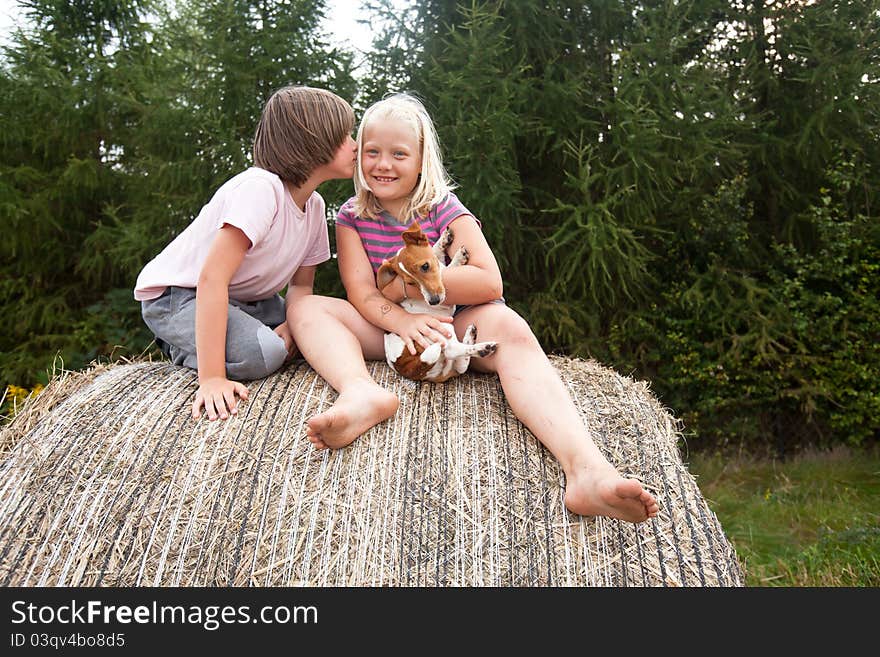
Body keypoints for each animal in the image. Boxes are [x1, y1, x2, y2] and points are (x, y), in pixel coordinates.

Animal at [378, 223, 498, 382]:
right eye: (410, 283)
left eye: (425, 266)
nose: (433, 301)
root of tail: (406, 366)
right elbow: (449, 268)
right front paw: (458, 258)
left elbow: (435, 252)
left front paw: (444, 240)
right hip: (443, 330)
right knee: (453, 351)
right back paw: (484, 348)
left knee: (461, 364)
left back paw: (471, 335)